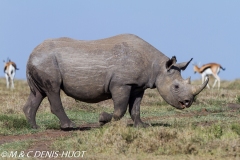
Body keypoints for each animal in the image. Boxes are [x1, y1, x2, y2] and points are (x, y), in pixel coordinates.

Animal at [23, 33, 209, 129]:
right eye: (176, 86)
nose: (188, 102)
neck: (157, 66)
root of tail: (31, 54)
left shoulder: (138, 86)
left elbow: (135, 108)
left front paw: (141, 126)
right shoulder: (121, 83)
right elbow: (120, 108)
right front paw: (102, 119)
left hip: (40, 61)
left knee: (38, 93)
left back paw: (35, 128)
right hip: (46, 62)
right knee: (53, 90)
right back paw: (70, 126)